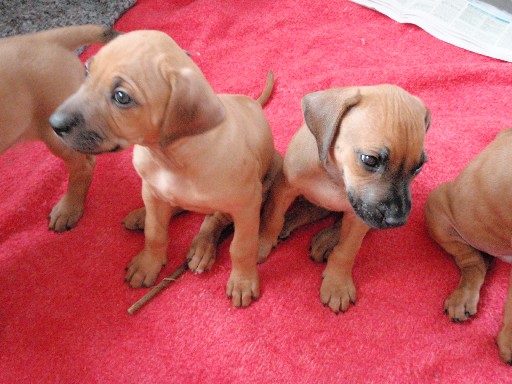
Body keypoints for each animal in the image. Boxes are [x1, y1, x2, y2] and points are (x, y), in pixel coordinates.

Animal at [48, 30, 280, 308]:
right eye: (86, 70)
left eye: (121, 97)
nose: (54, 124)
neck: (171, 158)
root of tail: (252, 103)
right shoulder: (151, 189)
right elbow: (155, 231)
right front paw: (148, 263)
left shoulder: (246, 205)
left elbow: (242, 246)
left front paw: (243, 281)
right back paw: (142, 216)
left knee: (214, 218)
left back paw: (202, 248)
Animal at [258, 85, 430, 314]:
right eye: (370, 160)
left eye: (418, 167)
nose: (398, 221)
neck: (335, 176)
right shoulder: (285, 186)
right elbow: (272, 218)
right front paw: (261, 244)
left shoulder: (360, 216)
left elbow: (347, 249)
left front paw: (337, 284)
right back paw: (289, 223)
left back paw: (325, 239)